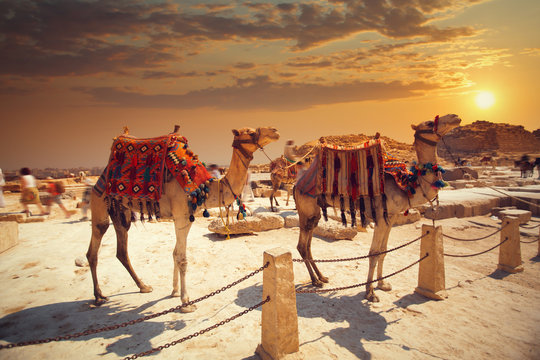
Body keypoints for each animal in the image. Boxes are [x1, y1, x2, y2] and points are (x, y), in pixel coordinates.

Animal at [86, 126, 280, 310]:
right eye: (250, 131)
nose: (275, 131)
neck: (203, 187)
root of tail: (99, 178)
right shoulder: (180, 216)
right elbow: (182, 259)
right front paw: (186, 302)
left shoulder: (187, 219)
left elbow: (175, 253)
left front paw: (174, 291)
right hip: (99, 200)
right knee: (94, 247)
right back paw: (99, 296)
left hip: (120, 210)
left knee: (122, 249)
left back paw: (143, 286)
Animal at [294, 114, 462, 302]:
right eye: (429, 122)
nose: (455, 117)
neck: (407, 185)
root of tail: (296, 185)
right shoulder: (381, 216)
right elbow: (374, 252)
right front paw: (370, 292)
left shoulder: (391, 216)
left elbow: (384, 250)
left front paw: (382, 284)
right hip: (306, 208)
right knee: (302, 246)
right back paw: (316, 281)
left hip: (314, 212)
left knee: (307, 245)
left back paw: (321, 277)